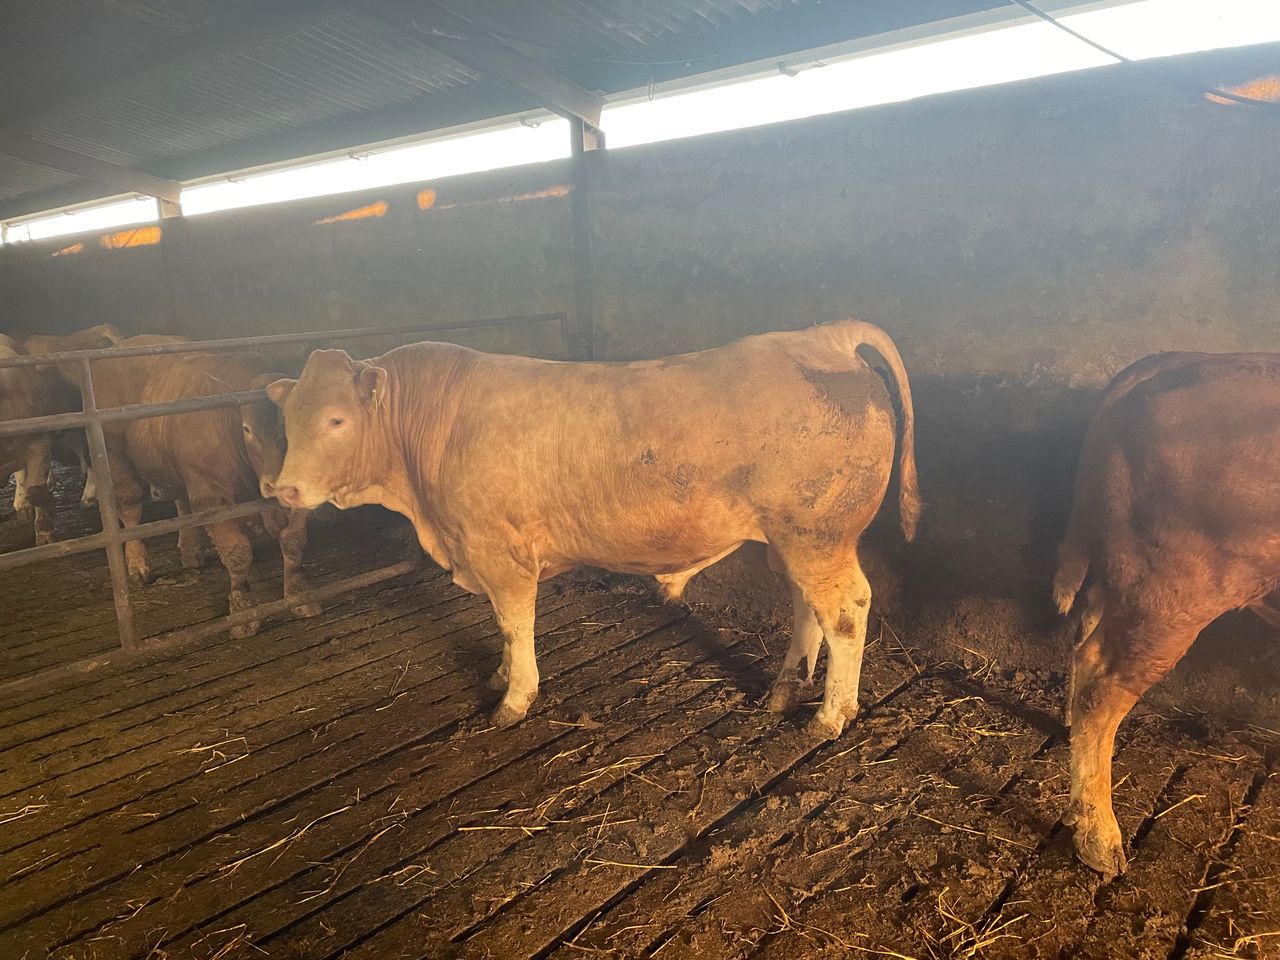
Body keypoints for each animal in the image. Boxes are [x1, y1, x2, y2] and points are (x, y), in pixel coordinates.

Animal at [91, 338, 320, 637]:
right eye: (246, 429)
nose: (275, 484)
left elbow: (293, 544)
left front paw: (299, 597)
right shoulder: (212, 497)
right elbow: (237, 555)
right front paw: (243, 611)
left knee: (181, 504)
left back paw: (191, 551)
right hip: (116, 456)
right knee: (130, 511)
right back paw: (138, 565)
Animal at [269, 319, 919, 735]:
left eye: (335, 419)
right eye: (287, 418)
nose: (283, 489)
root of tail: (822, 334)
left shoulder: (498, 548)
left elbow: (514, 623)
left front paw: (514, 698)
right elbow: (503, 627)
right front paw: (501, 675)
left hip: (817, 534)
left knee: (846, 609)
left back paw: (830, 715)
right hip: (793, 539)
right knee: (806, 605)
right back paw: (784, 690)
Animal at [1054, 351, 1280, 878]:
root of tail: (1170, 360)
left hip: (1124, 577)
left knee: (1083, 638)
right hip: (1172, 595)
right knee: (1101, 691)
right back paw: (1100, 840)